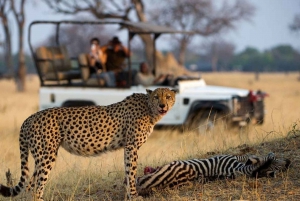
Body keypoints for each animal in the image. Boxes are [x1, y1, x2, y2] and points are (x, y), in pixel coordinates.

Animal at [0, 88, 177, 201]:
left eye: (168, 96)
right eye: (156, 97)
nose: (162, 105)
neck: (149, 108)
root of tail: (29, 117)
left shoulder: (129, 147)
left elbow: (128, 171)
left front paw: (129, 194)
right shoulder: (131, 146)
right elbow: (131, 171)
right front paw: (133, 195)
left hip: (41, 157)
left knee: (30, 185)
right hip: (47, 156)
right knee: (37, 187)